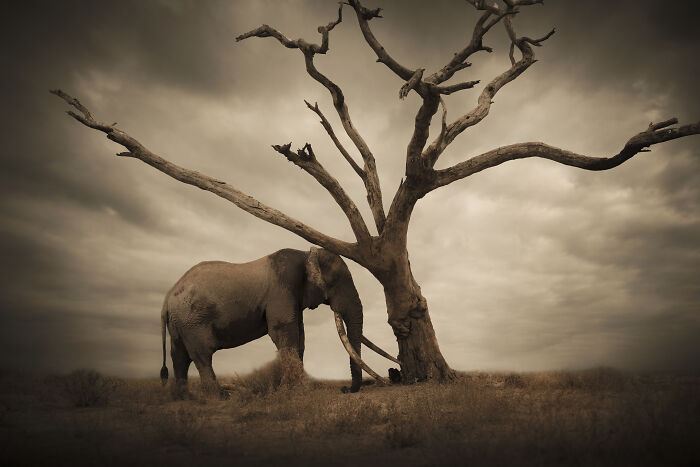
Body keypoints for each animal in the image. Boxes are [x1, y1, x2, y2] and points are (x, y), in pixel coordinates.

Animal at [159, 247, 398, 394]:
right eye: (338, 281)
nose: (345, 389)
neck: (305, 254)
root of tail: (167, 297)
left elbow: (299, 336)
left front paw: (291, 389)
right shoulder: (281, 290)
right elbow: (285, 333)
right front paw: (300, 391)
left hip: (181, 323)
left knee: (179, 356)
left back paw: (186, 398)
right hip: (193, 321)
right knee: (202, 355)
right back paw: (219, 397)